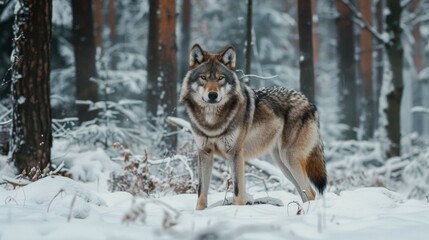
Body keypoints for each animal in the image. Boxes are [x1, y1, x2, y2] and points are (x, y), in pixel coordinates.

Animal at [179, 44, 326, 209]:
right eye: (203, 78)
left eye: (220, 78)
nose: (212, 95)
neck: (212, 121)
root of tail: (309, 102)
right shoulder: (204, 153)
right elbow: (201, 193)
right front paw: (199, 213)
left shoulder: (236, 154)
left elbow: (238, 191)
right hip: (282, 164)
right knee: (304, 193)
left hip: (290, 158)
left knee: (311, 193)